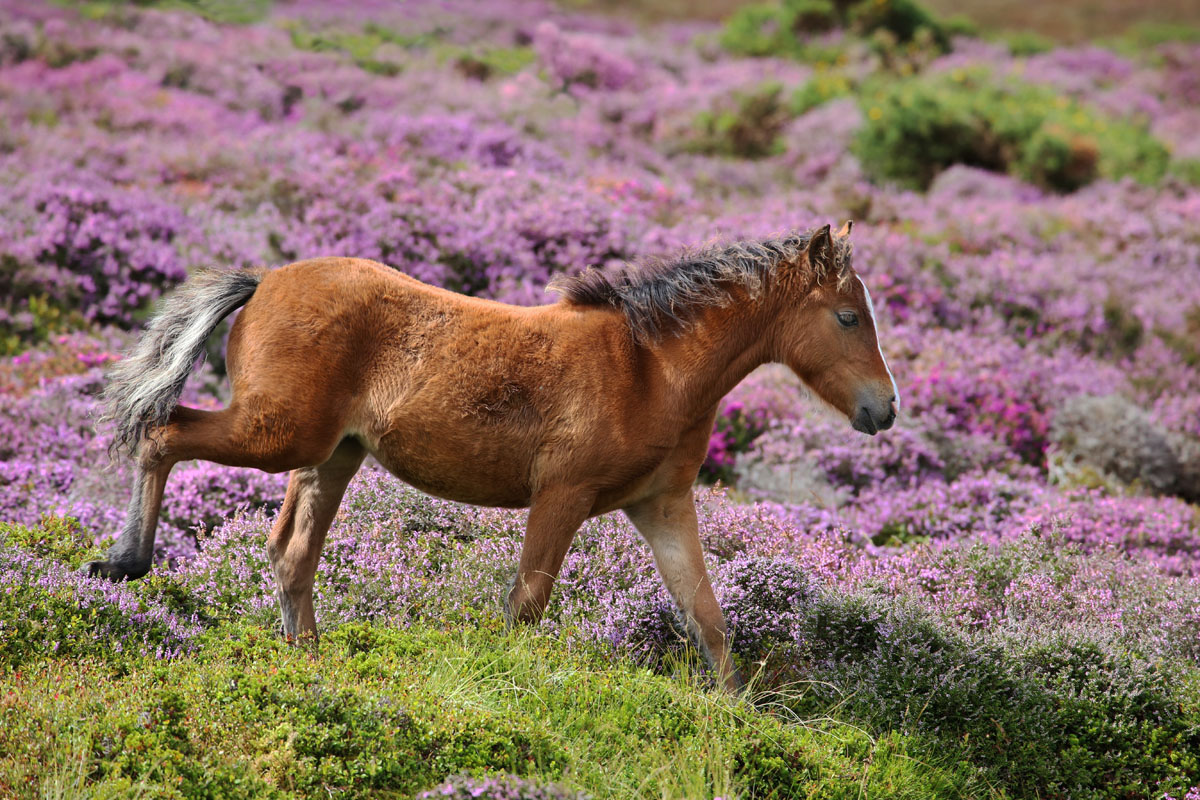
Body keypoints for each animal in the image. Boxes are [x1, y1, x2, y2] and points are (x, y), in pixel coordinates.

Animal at [93, 221, 897, 690]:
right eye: (847, 316)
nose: (883, 409)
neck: (651, 368)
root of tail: (262, 281)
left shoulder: (661, 504)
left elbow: (707, 614)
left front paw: (735, 713)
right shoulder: (563, 496)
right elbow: (526, 605)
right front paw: (498, 686)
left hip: (331, 454)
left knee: (291, 551)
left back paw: (308, 662)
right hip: (276, 434)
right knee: (161, 432)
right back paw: (125, 561)